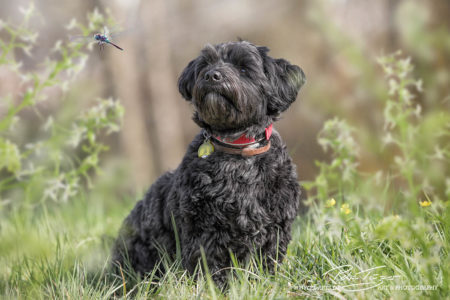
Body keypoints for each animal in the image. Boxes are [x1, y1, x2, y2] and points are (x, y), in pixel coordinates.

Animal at [113, 41, 306, 284]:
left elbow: (265, 261)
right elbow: (208, 263)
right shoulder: (203, 227)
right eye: (206, 64)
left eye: (244, 68)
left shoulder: (275, 226)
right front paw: (214, 287)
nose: (212, 75)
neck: (237, 148)